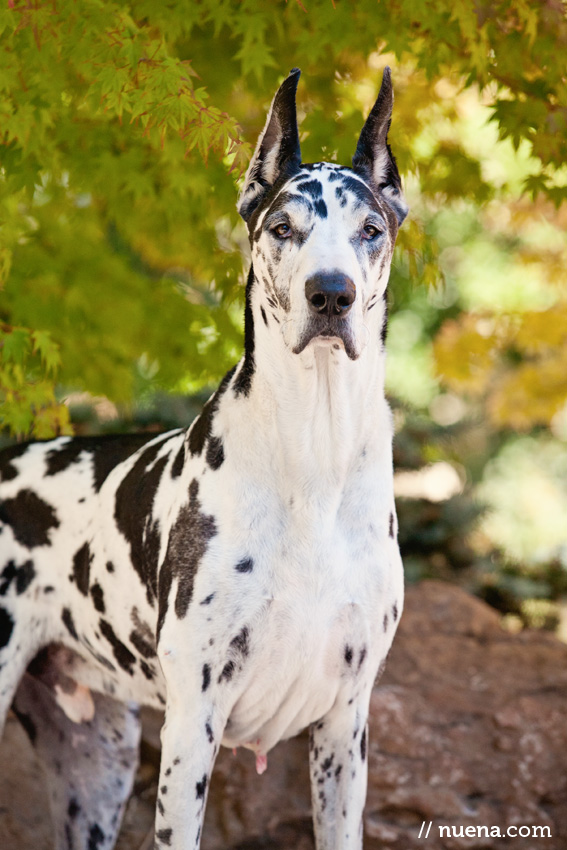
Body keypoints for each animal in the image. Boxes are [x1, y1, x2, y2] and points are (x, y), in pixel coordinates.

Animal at [0, 68, 408, 848]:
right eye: (283, 229)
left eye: (370, 231)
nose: (331, 294)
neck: (313, 456)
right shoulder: (194, 726)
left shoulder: (346, 730)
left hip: (98, 770)